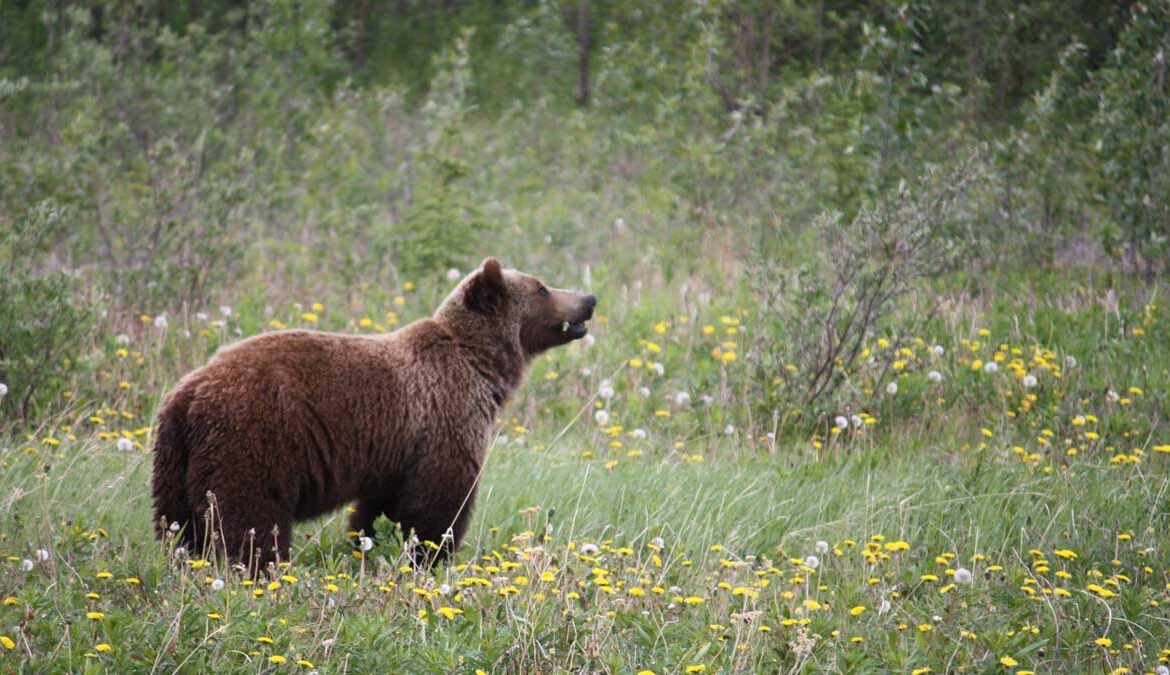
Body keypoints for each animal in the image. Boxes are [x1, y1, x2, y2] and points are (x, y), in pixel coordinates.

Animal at [150, 257, 599, 568]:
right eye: (542, 288)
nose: (589, 299)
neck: (481, 367)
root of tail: (189, 394)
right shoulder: (444, 419)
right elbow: (438, 504)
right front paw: (431, 556)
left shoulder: (396, 450)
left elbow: (379, 508)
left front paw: (369, 546)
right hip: (253, 439)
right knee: (250, 518)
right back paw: (259, 569)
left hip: (174, 460)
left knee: (177, 526)